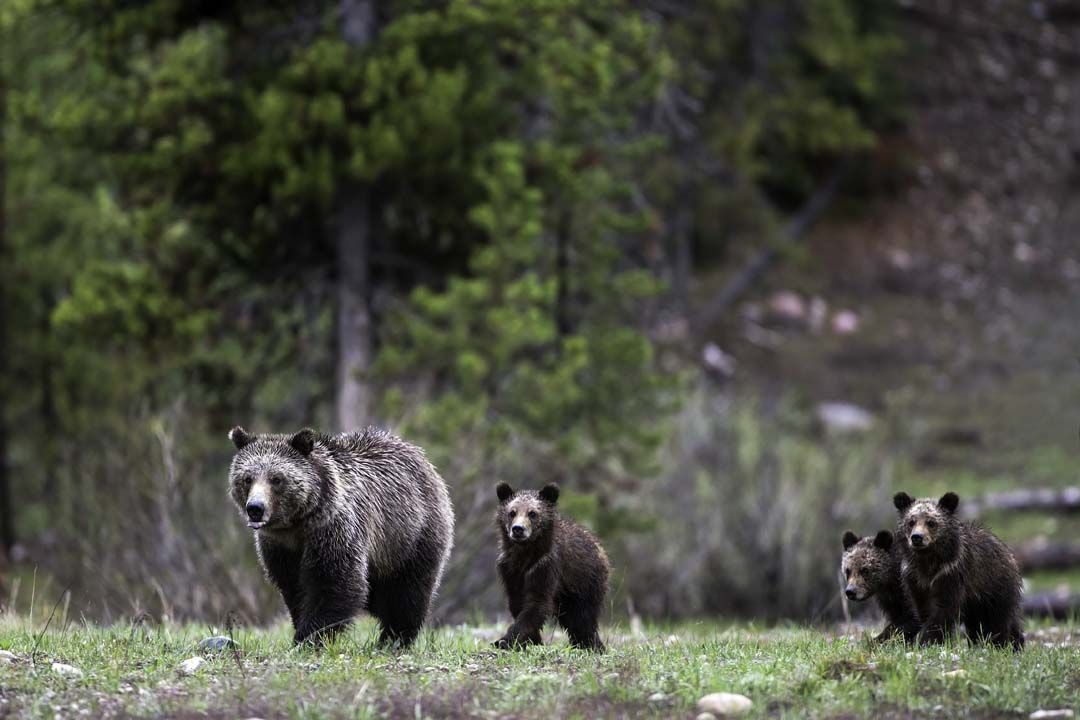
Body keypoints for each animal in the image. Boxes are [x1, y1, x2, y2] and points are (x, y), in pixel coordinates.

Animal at [227, 426, 454, 647]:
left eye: (276, 479)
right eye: (247, 478)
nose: (255, 508)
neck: (297, 525)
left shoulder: (334, 530)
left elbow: (334, 583)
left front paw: (308, 638)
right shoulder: (279, 548)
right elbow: (294, 588)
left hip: (409, 536)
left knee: (406, 592)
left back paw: (393, 639)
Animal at [493, 482, 609, 652]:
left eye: (532, 513)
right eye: (512, 512)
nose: (518, 529)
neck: (525, 554)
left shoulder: (546, 566)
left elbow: (537, 603)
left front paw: (505, 640)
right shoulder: (510, 570)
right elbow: (517, 603)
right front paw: (530, 640)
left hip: (585, 582)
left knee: (582, 618)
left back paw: (590, 645)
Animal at [893, 491, 1024, 650]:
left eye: (931, 522)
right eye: (911, 521)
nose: (917, 537)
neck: (928, 563)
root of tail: (1009, 553)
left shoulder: (951, 575)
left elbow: (943, 611)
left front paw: (928, 641)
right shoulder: (915, 580)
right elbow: (924, 609)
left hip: (995, 588)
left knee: (999, 619)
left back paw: (1004, 644)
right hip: (977, 602)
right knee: (979, 625)